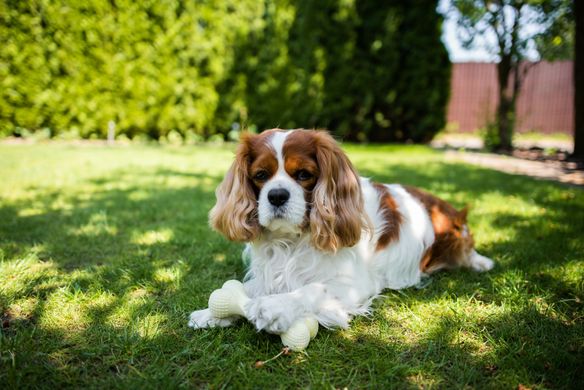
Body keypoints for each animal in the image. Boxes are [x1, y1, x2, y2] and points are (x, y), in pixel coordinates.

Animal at [189, 129, 496, 334]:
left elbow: (313, 288)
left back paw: (481, 262)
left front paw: (277, 307)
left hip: (457, 235)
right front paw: (212, 312)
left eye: (304, 174)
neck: (293, 241)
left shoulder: (355, 283)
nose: (276, 196)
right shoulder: (269, 272)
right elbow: (247, 288)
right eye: (260, 175)